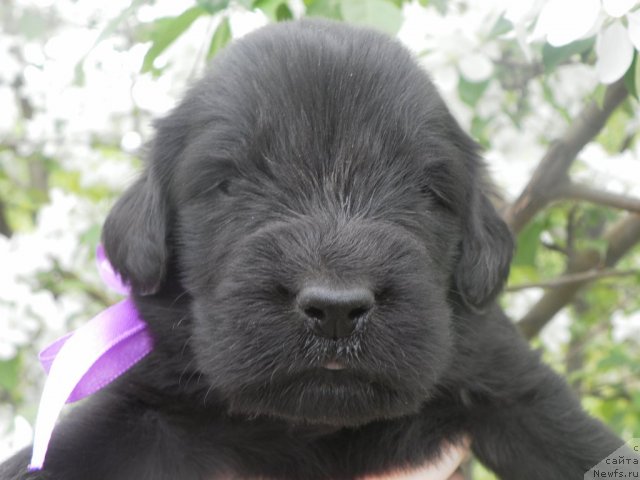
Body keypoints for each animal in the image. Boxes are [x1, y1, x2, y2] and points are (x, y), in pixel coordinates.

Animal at [0, 18, 624, 480]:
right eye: (227, 183)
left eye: (425, 190)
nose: (337, 309)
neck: (316, 427)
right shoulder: (141, 407)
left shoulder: (511, 385)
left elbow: (578, 445)